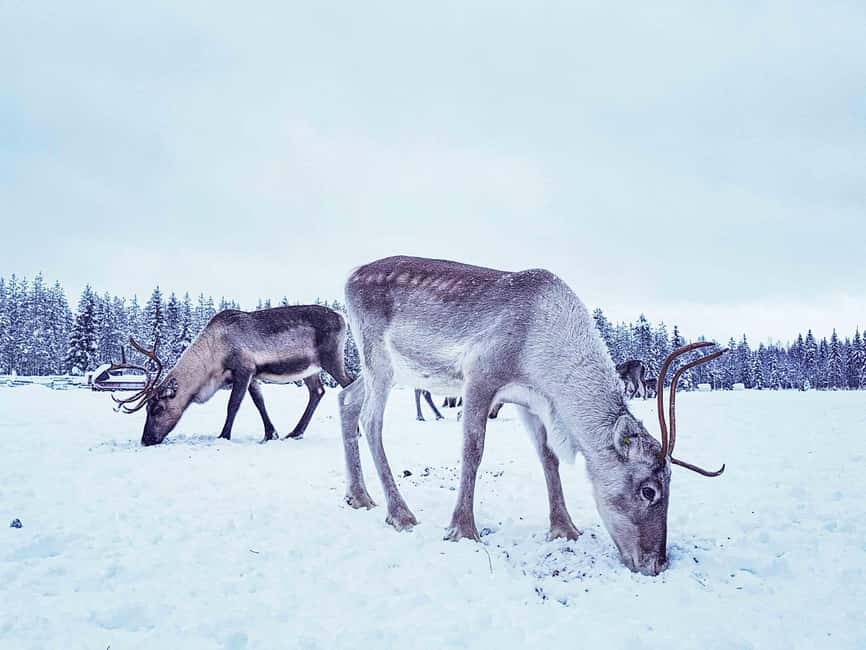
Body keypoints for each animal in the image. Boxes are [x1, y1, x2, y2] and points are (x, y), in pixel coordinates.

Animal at [110, 305, 353, 446]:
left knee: (349, 383)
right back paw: (295, 433)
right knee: (317, 391)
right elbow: (259, 403)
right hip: (310, 368)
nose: (146, 440)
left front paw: (224, 436)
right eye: (147, 409)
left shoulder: (243, 369)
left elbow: (233, 405)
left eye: (158, 408)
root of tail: (343, 317)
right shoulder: (253, 375)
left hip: (331, 358)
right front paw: (270, 434)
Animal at [337, 256, 726, 576]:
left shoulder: (531, 401)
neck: (542, 356)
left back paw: (359, 496)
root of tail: (350, 275)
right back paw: (400, 513)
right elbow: (473, 450)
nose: (657, 563)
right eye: (649, 490)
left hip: (384, 370)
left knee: (346, 399)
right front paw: (463, 529)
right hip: (378, 357)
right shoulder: (479, 375)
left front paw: (565, 528)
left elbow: (548, 457)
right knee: (370, 420)